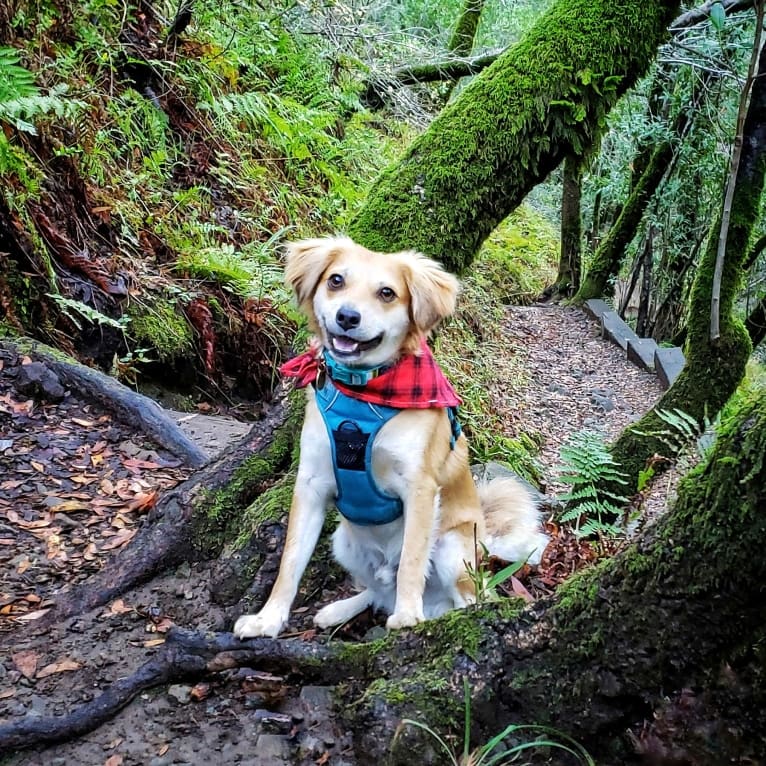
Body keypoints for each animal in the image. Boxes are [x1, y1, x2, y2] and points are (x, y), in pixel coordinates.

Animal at [231, 236, 548, 640]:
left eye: (387, 293)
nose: (348, 317)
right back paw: (340, 609)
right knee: (378, 591)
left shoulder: (419, 487)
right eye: (336, 280)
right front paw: (267, 619)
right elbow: (290, 561)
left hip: (453, 549)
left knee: (468, 598)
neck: (362, 392)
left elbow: (412, 559)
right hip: (343, 543)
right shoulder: (312, 482)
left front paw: (408, 614)